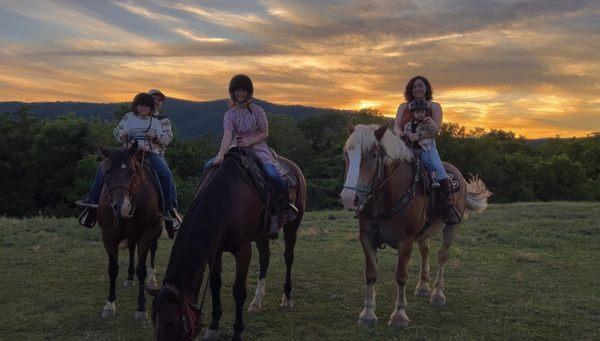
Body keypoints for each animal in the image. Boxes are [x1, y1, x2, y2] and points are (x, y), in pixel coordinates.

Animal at [98, 140, 164, 318]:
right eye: (107, 172)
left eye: (132, 171)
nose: (122, 207)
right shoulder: (108, 236)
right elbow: (112, 269)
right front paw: (109, 304)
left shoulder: (146, 233)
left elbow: (141, 269)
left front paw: (141, 307)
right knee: (131, 249)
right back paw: (129, 278)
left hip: (156, 229)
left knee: (153, 249)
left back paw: (151, 279)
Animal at [148, 148, 308, 340]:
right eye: (154, 321)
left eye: (169, 322)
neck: (224, 199)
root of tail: (295, 168)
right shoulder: (215, 251)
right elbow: (215, 284)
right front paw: (213, 326)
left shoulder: (243, 249)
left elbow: (238, 290)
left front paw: (237, 331)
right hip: (262, 234)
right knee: (265, 259)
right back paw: (257, 301)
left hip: (293, 224)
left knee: (288, 258)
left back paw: (287, 298)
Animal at [340, 121, 490, 326]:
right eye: (346, 154)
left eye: (373, 155)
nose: (349, 198)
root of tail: (456, 173)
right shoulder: (367, 238)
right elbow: (370, 274)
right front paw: (368, 314)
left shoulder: (405, 241)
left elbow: (401, 275)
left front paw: (399, 315)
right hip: (423, 233)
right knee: (425, 251)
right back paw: (423, 286)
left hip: (451, 227)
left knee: (442, 256)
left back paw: (437, 294)